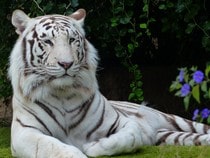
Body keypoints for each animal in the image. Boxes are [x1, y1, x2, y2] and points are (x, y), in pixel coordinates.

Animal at [9, 8, 210, 158]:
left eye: (72, 40)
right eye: (47, 41)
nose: (66, 64)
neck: (63, 92)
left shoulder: (123, 122)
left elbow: (130, 136)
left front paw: (91, 146)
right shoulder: (24, 133)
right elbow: (53, 146)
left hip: (175, 120)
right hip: (169, 135)